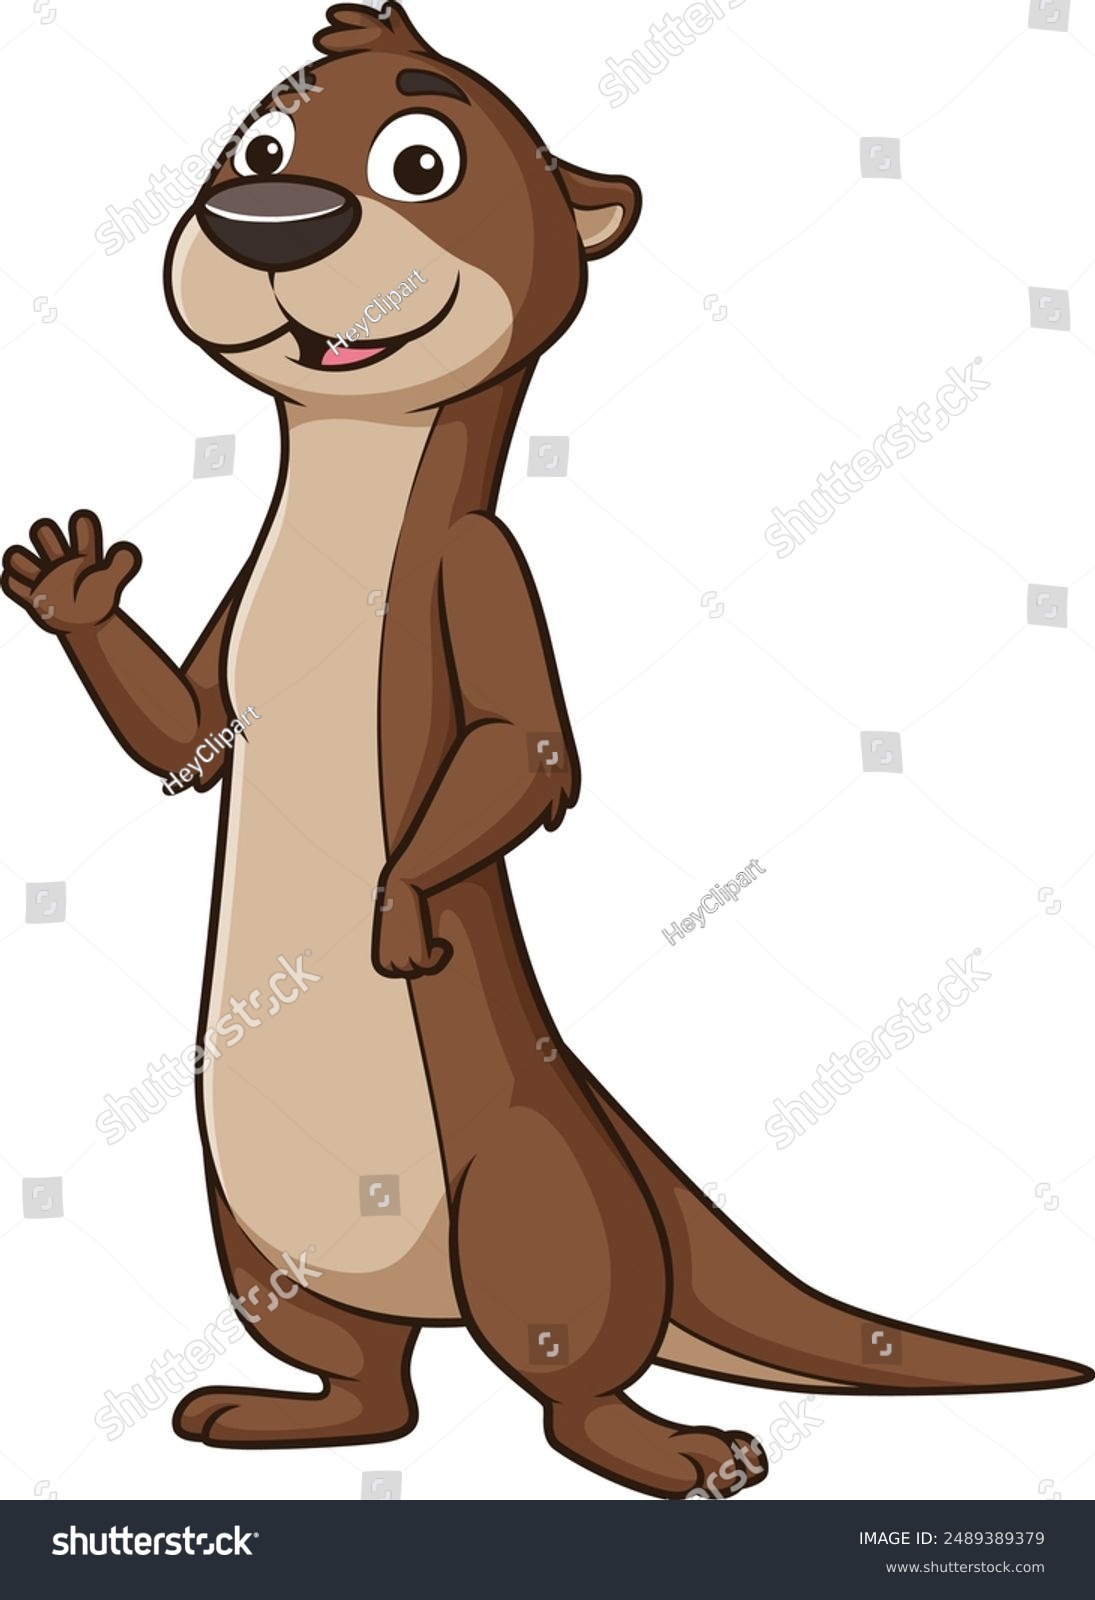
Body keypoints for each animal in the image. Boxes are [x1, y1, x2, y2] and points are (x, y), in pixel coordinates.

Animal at [3, 4, 1089, 1499]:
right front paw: (72, 588)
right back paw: (282, 1414)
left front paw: (398, 902)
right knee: (374, 1385)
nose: (267, 217)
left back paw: (674, 1448)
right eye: (262, 143)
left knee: (564, 1367)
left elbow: (531, 750)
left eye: (420, 160)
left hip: (534, 1186)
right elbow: (184, 746)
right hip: (247, 1229)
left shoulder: (479, 565)